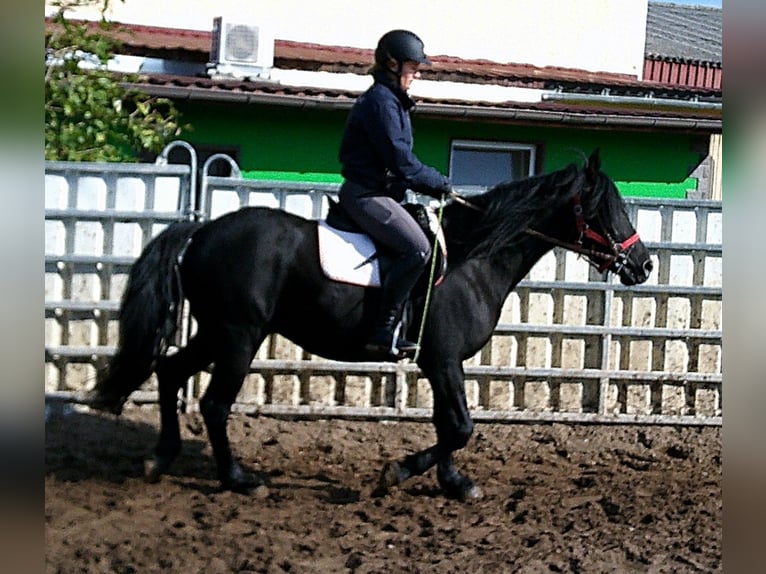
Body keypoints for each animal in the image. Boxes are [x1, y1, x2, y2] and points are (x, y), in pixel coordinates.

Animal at [89, 149, 653, 500]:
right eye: (603, 210)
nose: (643, 265)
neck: (471, 258)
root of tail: (202, 230)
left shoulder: (441, 363)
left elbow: (448, 425)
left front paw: (453, 483)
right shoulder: (442, 359)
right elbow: (460, 426)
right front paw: (395, 473)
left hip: (215, 332)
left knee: (168, 373)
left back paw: (161, 458)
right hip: (238, 336)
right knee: (212, 402)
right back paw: (239, 479)